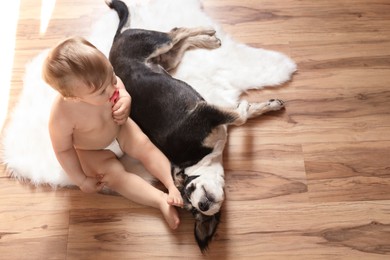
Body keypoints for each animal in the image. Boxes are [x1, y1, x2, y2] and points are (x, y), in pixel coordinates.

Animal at [106, 0, 284, 252]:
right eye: (191, 208)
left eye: (190, 190)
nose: (202, 205)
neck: (202, 158)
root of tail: (115, 41)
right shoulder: (209, 114)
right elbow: (243, 115)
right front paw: (262, 105)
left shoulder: (206, 112)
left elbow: (240, 115)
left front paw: (251, 106)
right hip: (167, 60)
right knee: (180, 41)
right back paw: (208, 40)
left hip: (155, 44)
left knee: (176, 31)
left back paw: (208, 33)